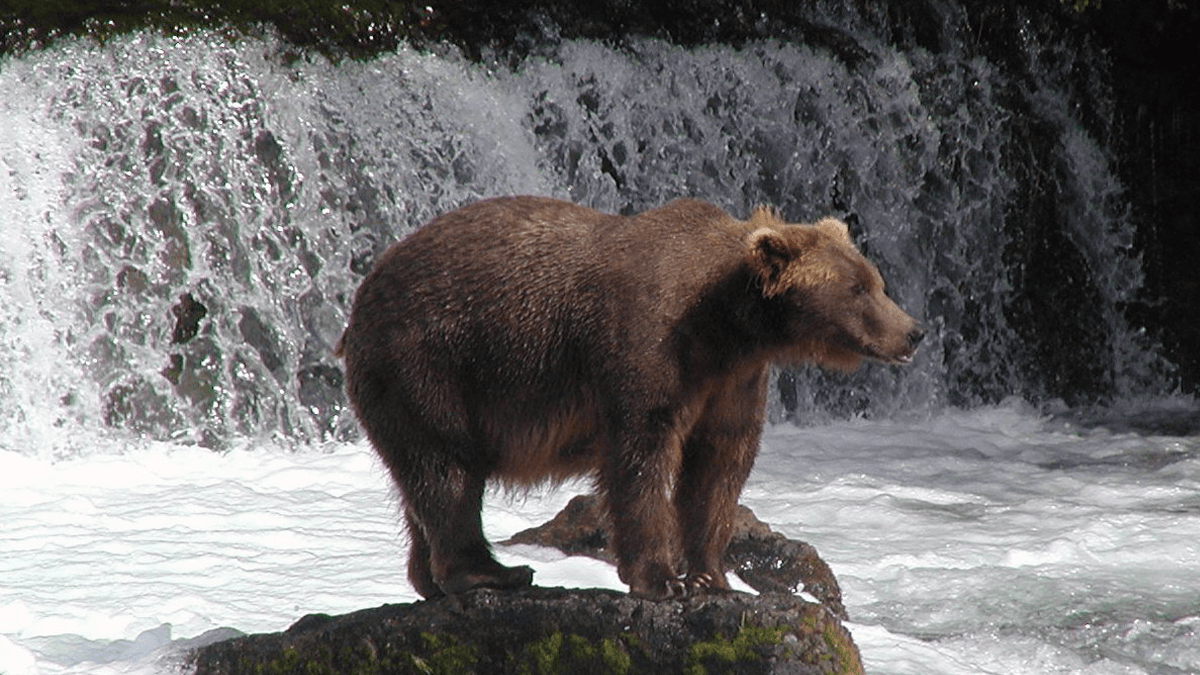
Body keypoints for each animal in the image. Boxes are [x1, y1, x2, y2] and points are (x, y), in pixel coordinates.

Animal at [337, 196, 923, 600]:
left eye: (875, 280)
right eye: (858, 289)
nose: (913, 332)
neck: (727, 325)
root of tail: (359, 301)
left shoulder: (733, 381)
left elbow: (719, 466)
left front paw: (711, 574)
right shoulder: (647, 348)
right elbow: (642, 457)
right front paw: (663, 579)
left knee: (419, 480)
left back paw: (429, 578)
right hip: (428, 364)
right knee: (448, 470)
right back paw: (493, 571)